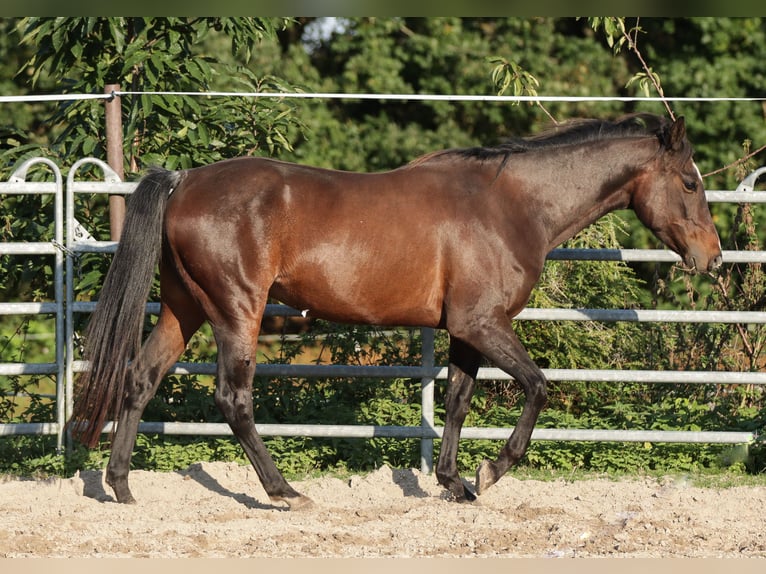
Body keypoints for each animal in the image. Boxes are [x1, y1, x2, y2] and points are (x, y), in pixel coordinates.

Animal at [69, 115, 724, 510]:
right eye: (690, 183)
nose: (712, 258)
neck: (511, 204)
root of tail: (183, 182)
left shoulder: (465, 331)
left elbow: (457, 401)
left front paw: (455, 483)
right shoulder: (483, 324)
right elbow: (538, 387)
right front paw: (490, 473)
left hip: (184, 309)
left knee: (140, 378)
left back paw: (121, 488)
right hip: (237, 311)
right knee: (234, 400)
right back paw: (285, 492)